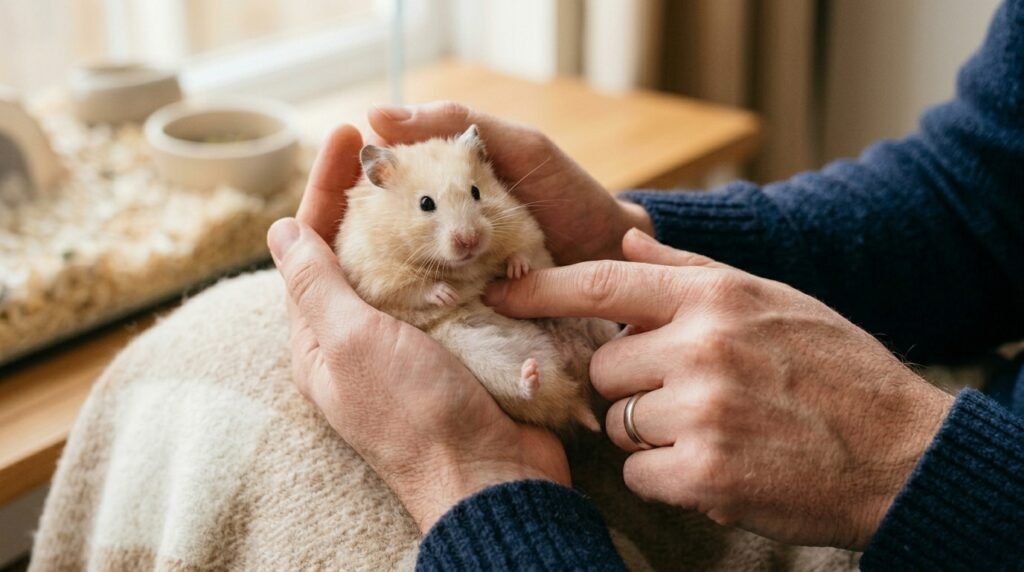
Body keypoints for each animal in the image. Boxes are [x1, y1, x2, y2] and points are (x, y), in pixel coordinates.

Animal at [335, 124, 618, 430]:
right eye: (425, 203)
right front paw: (447, 295)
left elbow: (523, 252)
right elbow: (412, 288)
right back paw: (531, 374)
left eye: (476, 191)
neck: (465, 266)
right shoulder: (373, 275)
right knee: (533, 392)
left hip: (591, 321)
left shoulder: (523, 225)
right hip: (488, 361)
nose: (469, 240)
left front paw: (517, 271)